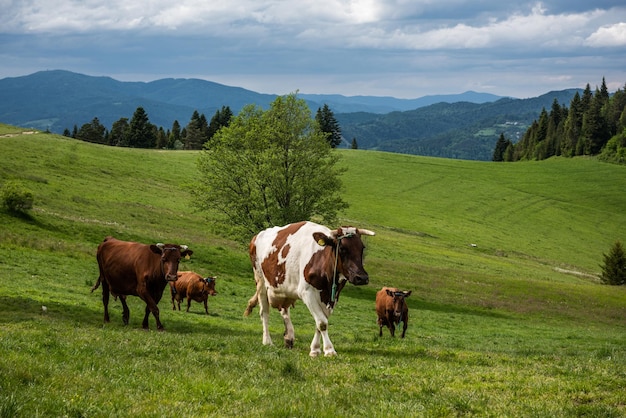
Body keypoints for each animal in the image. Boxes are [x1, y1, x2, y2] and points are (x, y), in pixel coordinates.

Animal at [241, 220, 372, 358]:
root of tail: (257, 235)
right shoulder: (307, 292)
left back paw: (289, 337)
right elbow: (322, 322)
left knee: (284, 310)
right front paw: (329, 350)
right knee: (264, 312)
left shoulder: (333, 296)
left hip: (284, 288)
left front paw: (315, 349)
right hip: (260, 280)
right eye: (342, 248)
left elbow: (320, 321)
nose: (362, 278)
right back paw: (267, 341)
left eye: (362, 248)